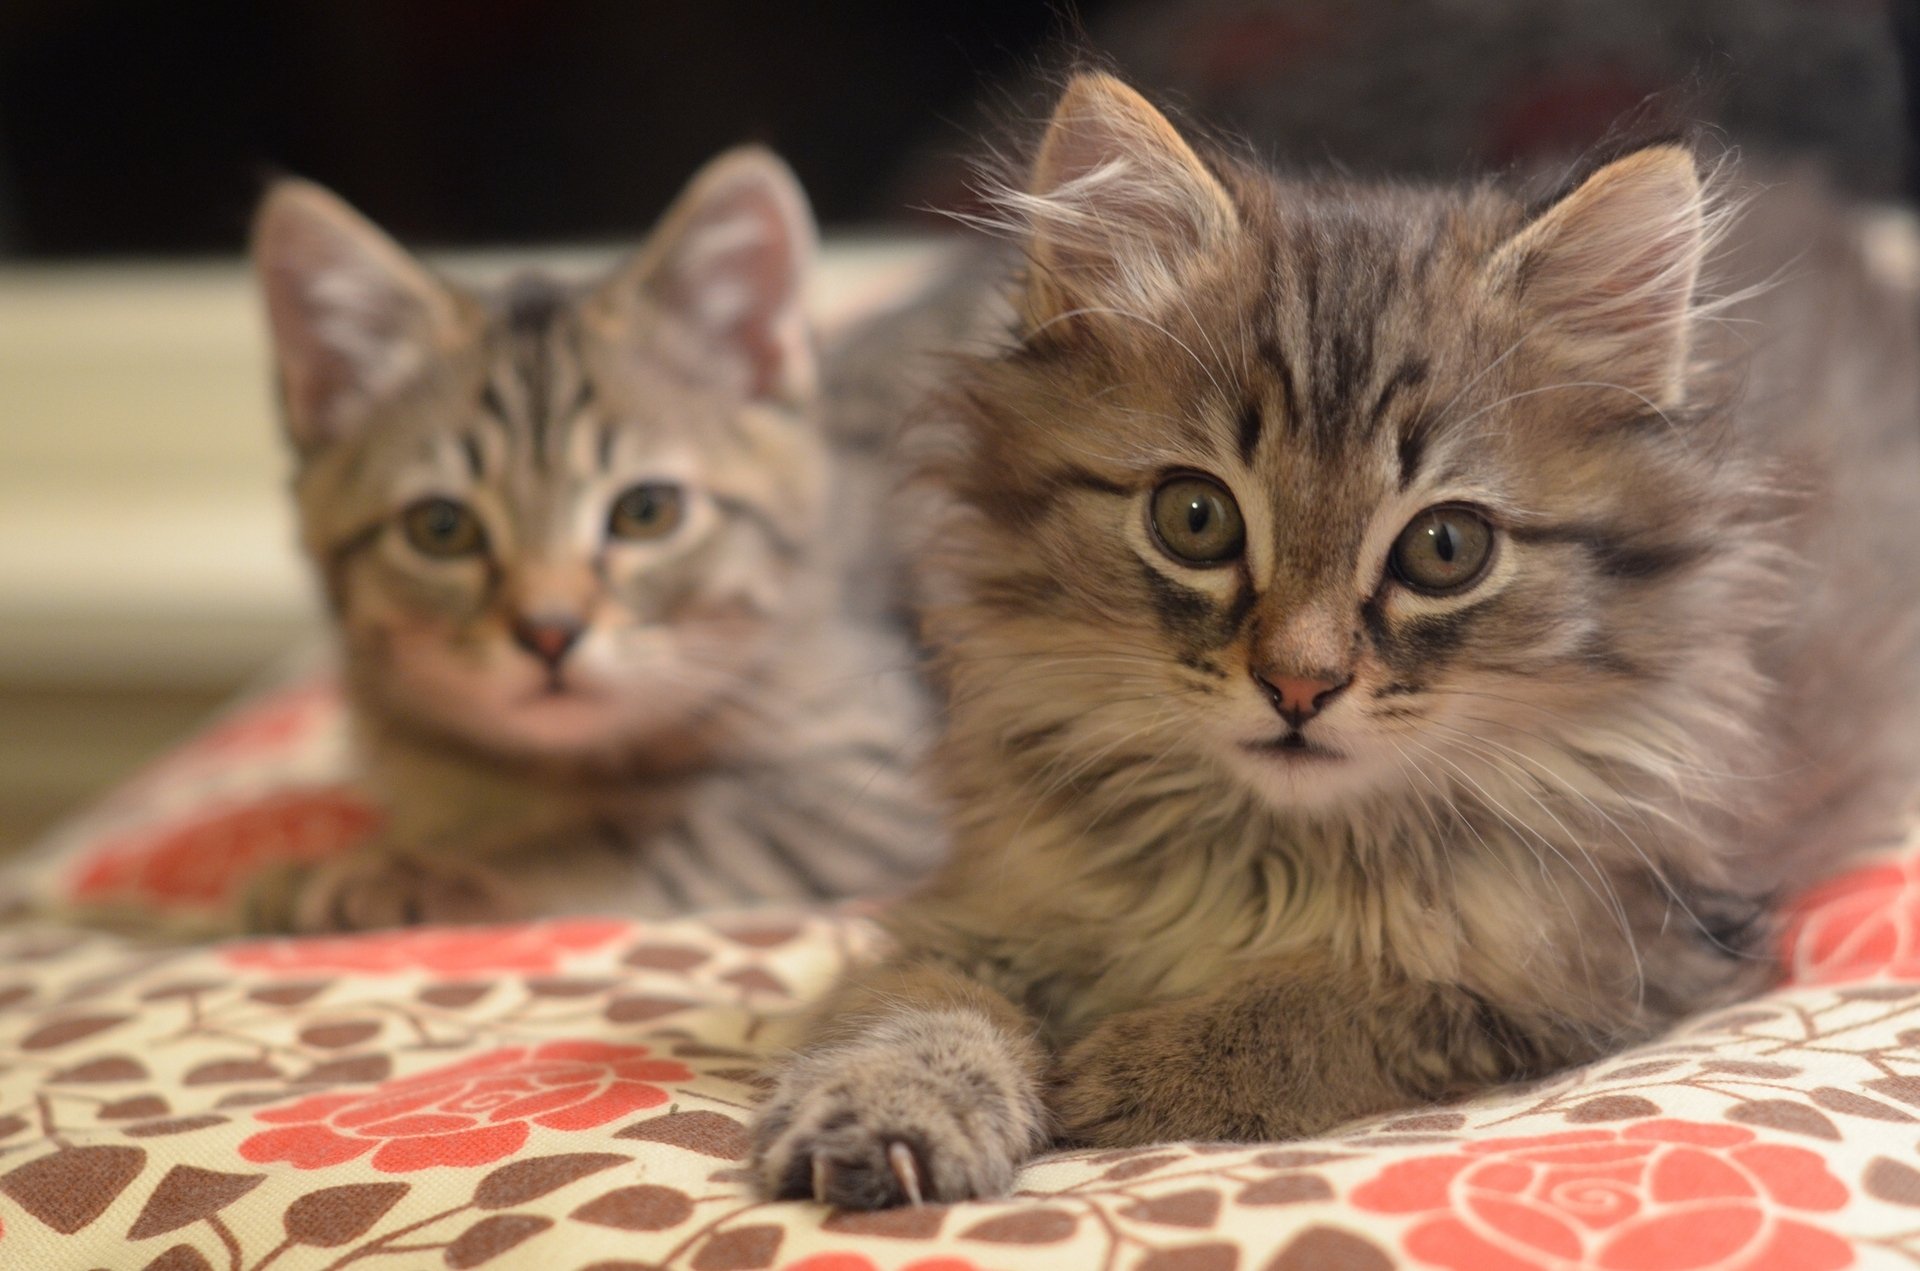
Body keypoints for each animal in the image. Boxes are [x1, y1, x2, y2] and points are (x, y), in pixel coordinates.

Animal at [247, 151, 936, 936]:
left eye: (646, 511)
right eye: (441, 527)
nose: (549, 633)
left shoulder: (875, 781)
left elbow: (624, 836)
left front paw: (409, 871)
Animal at [744, 74, 1920, 1213]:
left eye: (1445, 547)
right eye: (1196, 518)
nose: (1298, 684)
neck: (1277, 852)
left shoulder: (1613, 959)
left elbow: (1334, 1003)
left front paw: (1135, 1065)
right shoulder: (986, 903)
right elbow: (909, 1001)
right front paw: (893, 1109)